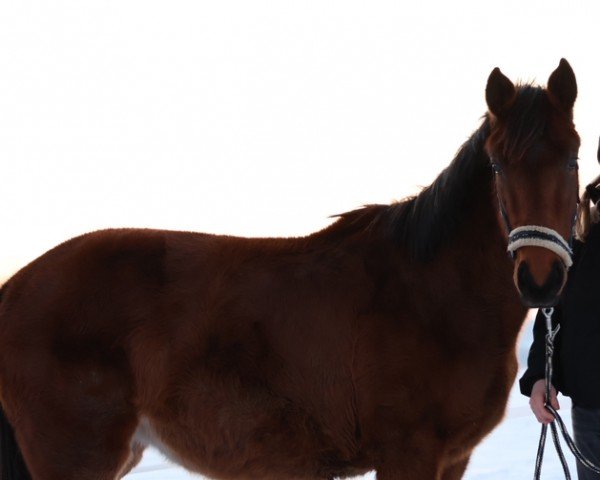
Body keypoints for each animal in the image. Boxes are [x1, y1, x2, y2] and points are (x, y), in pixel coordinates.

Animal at [0, 61, 580, 480]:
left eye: (573, 158)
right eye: (499, 164)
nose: (540, 280)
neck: (431, 295)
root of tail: (16, 287)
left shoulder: (452, 458)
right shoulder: (408, 453)